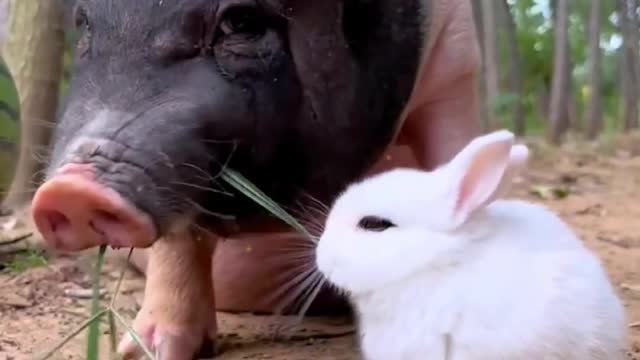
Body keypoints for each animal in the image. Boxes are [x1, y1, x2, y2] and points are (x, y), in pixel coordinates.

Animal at [31, 0, 480, 358]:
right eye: (84, 23)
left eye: (242, 22)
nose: (71, 191)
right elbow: (179, 243)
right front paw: (144, 353)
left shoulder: (455, 61)